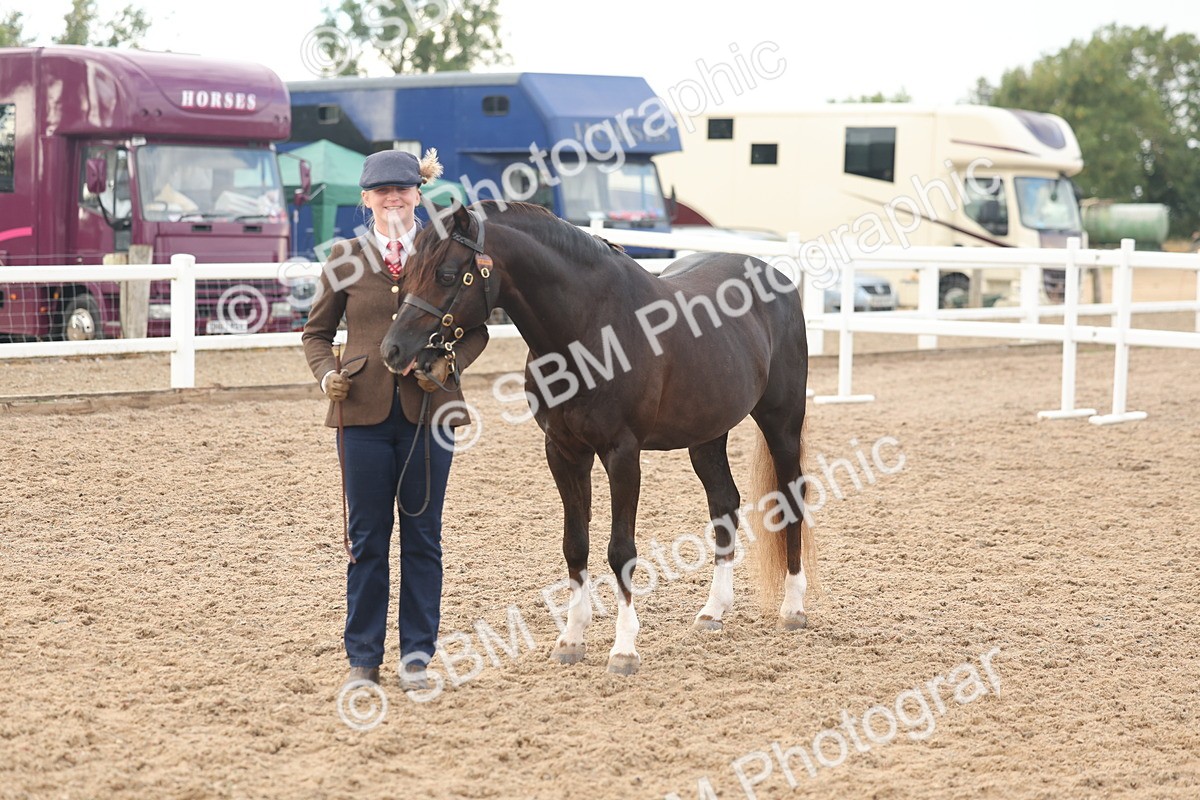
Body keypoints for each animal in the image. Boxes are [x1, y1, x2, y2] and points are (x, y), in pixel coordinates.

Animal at [382, 202, 816, 675]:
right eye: (406, 273)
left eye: (445, 275)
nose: (394, 350)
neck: (589, 329)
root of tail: (777, 279)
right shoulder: (563, 451)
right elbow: (575, 545)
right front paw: (571, 639)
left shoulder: (622, 454)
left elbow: (620, 550)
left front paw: (623, 649)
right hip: (707, 436)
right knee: (724, 504)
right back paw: (713, 611)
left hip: (781, 423)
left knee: (791, 499)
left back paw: (794, 609)